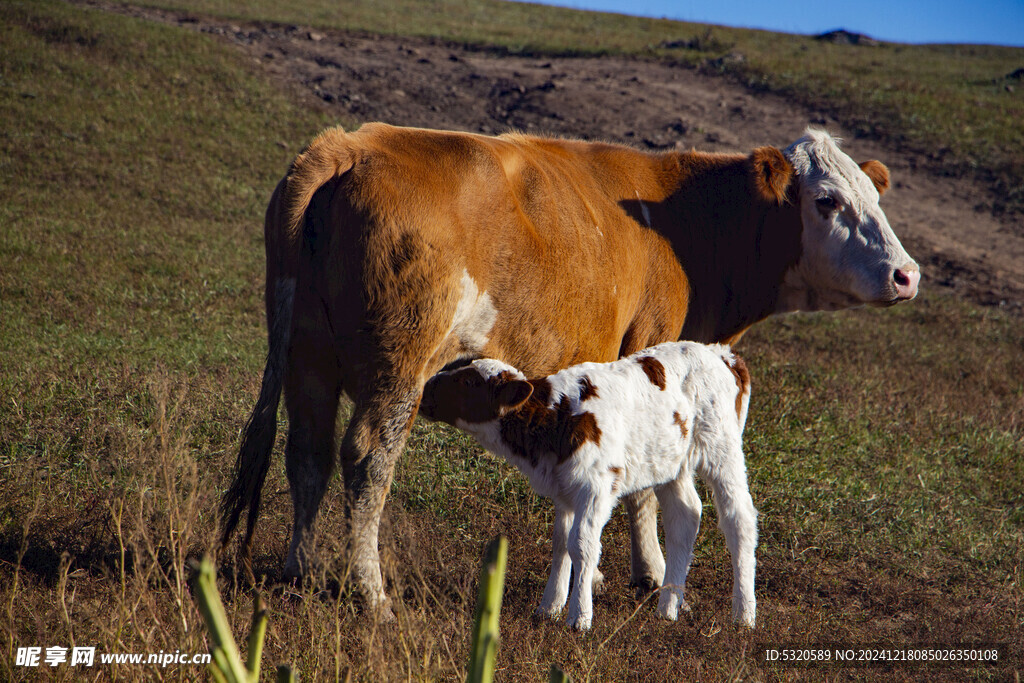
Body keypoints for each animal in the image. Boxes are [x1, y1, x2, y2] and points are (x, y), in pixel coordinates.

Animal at [417, 342, 761, 630]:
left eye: (469, 382)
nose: (426, 387)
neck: (557, 416)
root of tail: (723, 354)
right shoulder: (564, 490)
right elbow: (560, 542)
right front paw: (549, 607)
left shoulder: (596, 488)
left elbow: (581, 544)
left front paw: (579, 617)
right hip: (670, 463)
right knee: (685, 517)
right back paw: (668, 608)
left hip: (722, 449)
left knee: (739, 519)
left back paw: (743, 613)